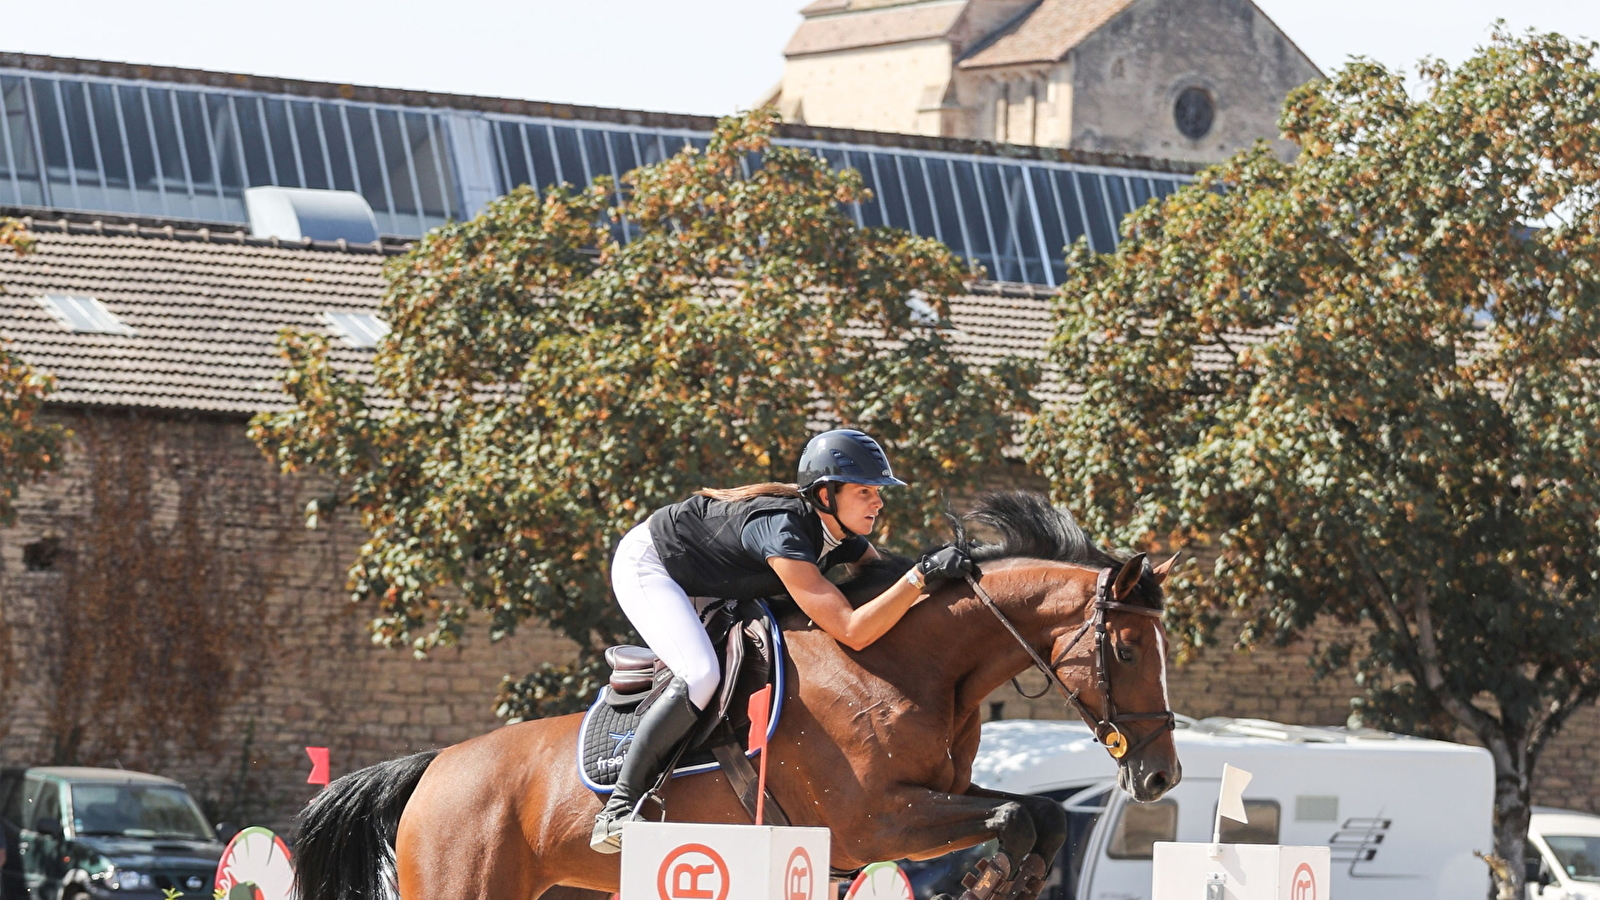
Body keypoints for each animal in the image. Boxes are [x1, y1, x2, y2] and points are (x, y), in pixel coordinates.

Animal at [294, 490, 1184, 896]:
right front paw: (993, 876)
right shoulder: (874, 822)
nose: (1161, 777)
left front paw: (1013, 878)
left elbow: (1039, 815)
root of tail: (437, 765)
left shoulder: (932, 798)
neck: (905, 667)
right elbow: (1012, 816)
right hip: (460, 879)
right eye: (1128, 647)